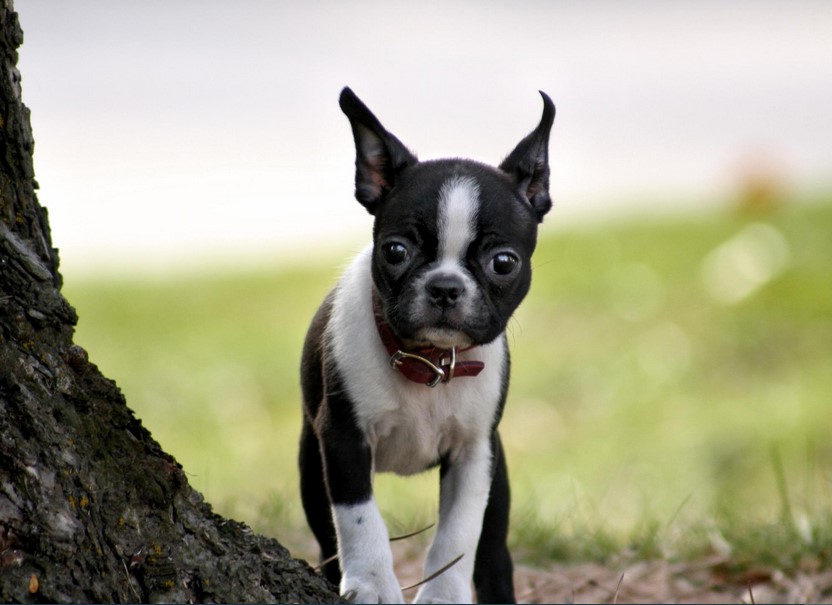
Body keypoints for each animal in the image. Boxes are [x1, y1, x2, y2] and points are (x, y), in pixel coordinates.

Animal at [296, 87, 556, 600]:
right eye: (396, 251)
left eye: (503, 262)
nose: (445, 287)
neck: (428, 362)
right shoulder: (341, 438)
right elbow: (359, 518)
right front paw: (373, 583)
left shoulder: (476, 452)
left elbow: (459, 532)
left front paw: (443, 594)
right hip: (310, 464)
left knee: (493, 550)